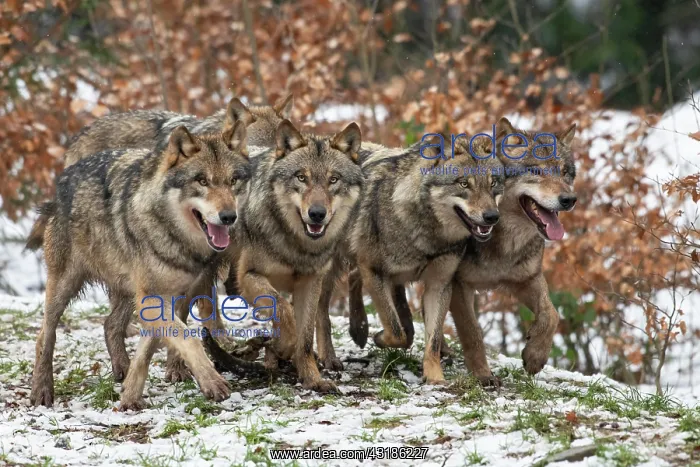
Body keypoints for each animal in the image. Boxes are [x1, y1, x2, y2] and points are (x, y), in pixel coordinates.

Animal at [25, 120, 251, 409]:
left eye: (233, 181)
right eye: (202, 181)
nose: (229, 217)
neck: (173, 235)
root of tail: (63, 178)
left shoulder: (169, 296)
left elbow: (148, 348)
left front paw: (130, 395)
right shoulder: (151, 298)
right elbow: (187, 338)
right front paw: (212, 382)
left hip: (125, 289)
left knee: (110, 324)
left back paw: (121, 369)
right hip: (64, 285)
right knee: (45, 334)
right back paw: (42, 390)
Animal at [233, 118, 363, 393]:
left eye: (333, 179)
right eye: (301, 177)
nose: (317, 214)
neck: (296, 246)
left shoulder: (310, 282)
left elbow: (304, 337)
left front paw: (312, 379)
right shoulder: (248, 276)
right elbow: (285, 312)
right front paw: (282, 346)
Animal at [341, 135, 504, 383]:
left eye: (492, 183)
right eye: (463, 184)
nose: (492, 217)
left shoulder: (439, 284)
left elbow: (432, 340)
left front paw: (435, 377)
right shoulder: (374, 270)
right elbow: (396, 331)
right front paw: (379, 337)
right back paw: (356, 331)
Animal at [449, 117, 577, 384]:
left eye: (564, 172)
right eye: (536, 172)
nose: (570, 200)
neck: (505, 244)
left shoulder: (526, 279)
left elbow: (551, 314)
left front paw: (535, 356)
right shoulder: (458, 284)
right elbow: (472, 332)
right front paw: (483, 375)